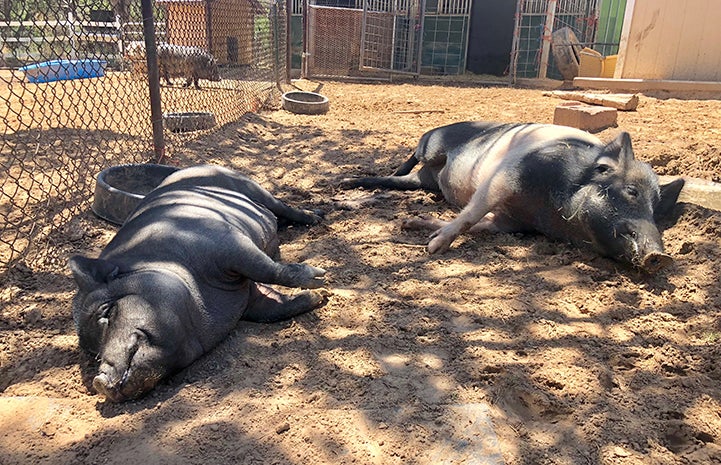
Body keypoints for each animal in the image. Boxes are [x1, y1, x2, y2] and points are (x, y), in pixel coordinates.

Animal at [67, 165, 326, 400]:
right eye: (93, 353)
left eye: (107, 312)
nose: (100, 382)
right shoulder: (247, 298)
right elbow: (273, 309)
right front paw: (318, 296)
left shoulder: (224, 241)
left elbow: (269, 270)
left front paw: (320, 279)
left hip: (249, 186)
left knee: (283, 207)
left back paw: (317, 216)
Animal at [340, 121, 684, 272]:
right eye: (631, 191)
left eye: (656, 210)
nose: (660, 255)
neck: (550, 212)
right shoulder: (504, 176)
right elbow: (471, 214)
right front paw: (434, 248)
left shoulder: (511, 221)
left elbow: (481, 225)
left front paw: (415, 225)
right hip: (431, 143)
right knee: (412, 153)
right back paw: (349, 182)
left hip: (425, 181)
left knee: (403, 181)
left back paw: (349, 184)